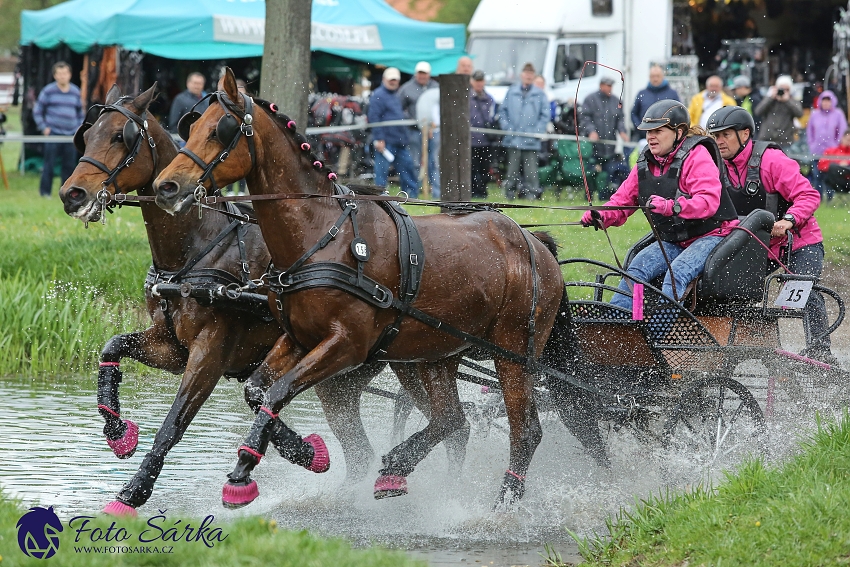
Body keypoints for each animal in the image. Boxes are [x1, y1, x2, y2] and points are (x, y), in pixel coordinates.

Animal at [58, 85, 420, 520]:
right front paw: (116, 431)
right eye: (87, 134)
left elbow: (174, 424)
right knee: (360, 449)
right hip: (342, 380)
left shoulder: (210, 351)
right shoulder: (172, 346)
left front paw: (133, 492)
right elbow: (113, 347)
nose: (71, 194)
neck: (197, 247)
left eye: (119, 137)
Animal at [154, 69, 564, 508]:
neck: (320, 234)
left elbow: (278, 392)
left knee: (525, 430)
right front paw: (301, 451)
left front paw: (246, 468)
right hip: (436, 352)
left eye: (221, 130)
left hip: (513, 352)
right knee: (452, 418)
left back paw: (501, 503)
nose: (166, 186)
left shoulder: (347, 346)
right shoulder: (299, 338)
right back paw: (398, 468)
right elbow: (258, 391)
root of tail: (536, 244)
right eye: (192, 126)